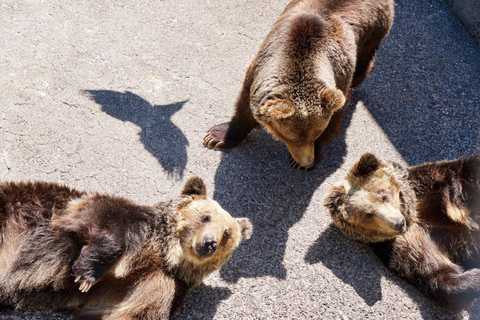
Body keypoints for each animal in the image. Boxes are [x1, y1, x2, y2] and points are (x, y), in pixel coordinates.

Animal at [0, 176, 253, 318]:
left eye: (227, 233)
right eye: (205, 217)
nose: (209, 243)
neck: (166, 255)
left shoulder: (160, 285)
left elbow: (137, 311)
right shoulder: (126, 219)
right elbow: (101, 219)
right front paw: (86, 274)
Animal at [202, 0, 394, 170]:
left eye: (316, 133)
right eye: (291, 138)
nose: (306, 162)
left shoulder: (340, 76)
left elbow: (335, 118)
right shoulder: (258, 70)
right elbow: (243, 107)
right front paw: (216, 137)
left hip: (374, 30)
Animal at [322, 154, 480, 312]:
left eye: (383, 195)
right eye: (367, 214)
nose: (398, 223)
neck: (414, 214)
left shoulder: (439, 182)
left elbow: (467, 173)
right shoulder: (405, 242)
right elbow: (433, 270)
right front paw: (474, 277)